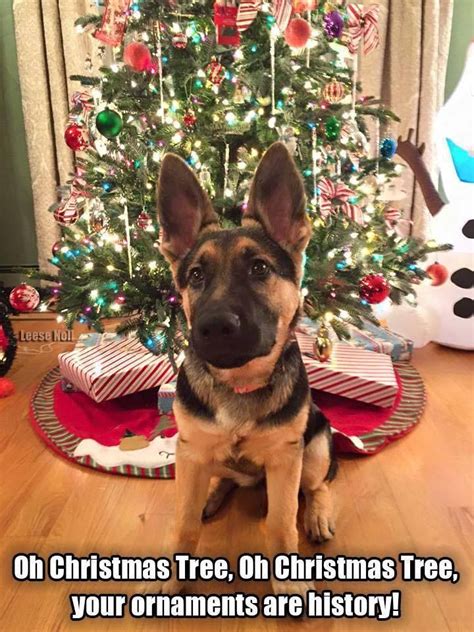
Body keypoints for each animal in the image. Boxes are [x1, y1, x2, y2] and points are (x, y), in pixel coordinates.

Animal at [159, 141, 336, 596]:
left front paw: (290, 586)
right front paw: (173, 578)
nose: (215, 327)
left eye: (259, 268)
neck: (239, 384)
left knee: (319, 486)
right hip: (199, 456)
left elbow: (281, 524)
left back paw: (317, 515)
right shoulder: (191, 449)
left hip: (314, 450)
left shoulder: (286, 460)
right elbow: (183, 523)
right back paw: (211, 493)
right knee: (220, 477)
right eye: (196, 276)